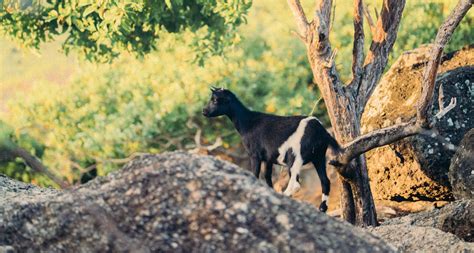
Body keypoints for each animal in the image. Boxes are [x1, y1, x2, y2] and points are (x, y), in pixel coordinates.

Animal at [202, 87, 338, 211]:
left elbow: (255, 174)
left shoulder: (255, 155)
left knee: (295, 184)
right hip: (319, 157)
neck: (248, 122)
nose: (204, 111)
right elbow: (267, 178)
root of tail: (321, 132)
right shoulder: (268, 159)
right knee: (325, 181)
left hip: (295, 157)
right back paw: (322, 208)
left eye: (215, 100)